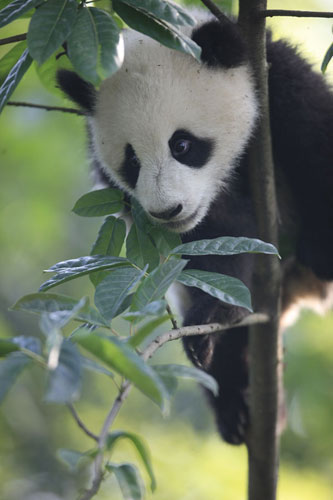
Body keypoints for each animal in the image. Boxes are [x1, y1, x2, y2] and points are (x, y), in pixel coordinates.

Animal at [57, 9, 332, 444]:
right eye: (131, 161)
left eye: (181, 145)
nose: (168, 210)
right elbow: (219, 247)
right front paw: (212, 317)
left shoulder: (280, 85)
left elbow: (318, 144)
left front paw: (322, 247)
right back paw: (239, 406)